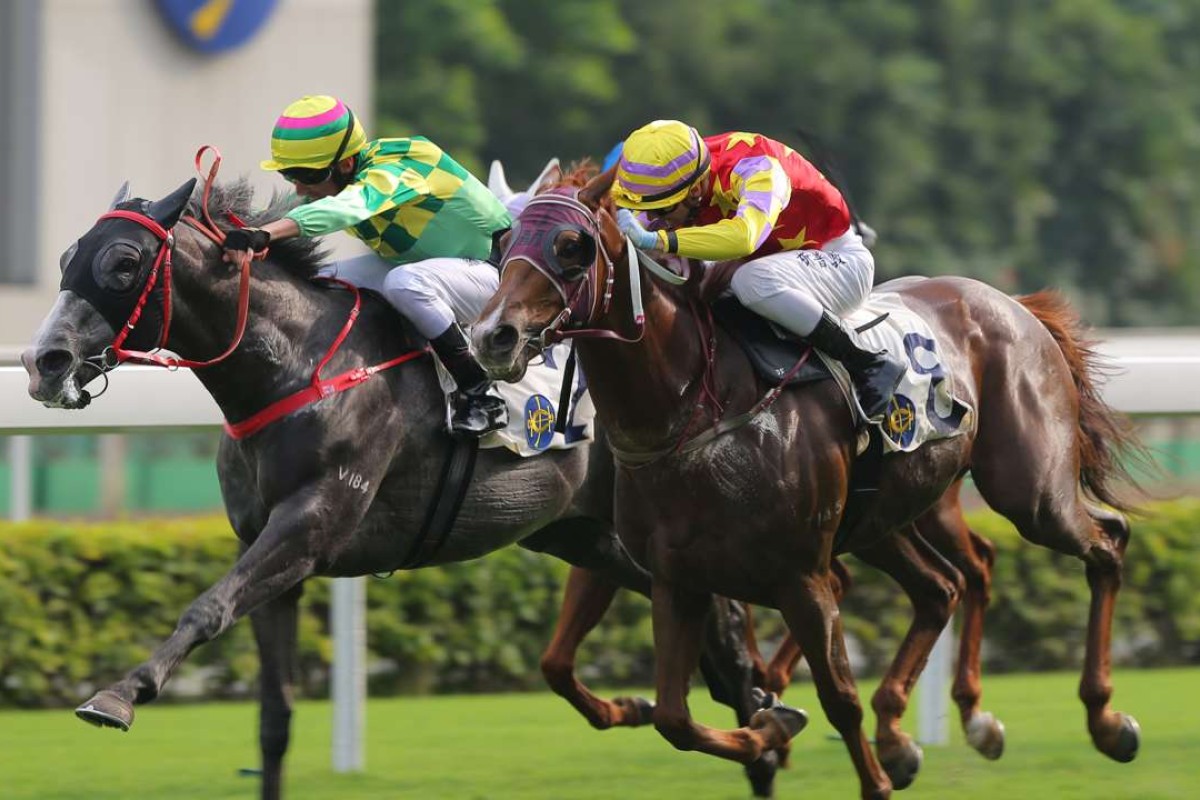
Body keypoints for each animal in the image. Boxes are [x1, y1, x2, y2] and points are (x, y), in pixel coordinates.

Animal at [470, 172, 1142, 796]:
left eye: (572, 245)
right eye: (504, 241)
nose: (492, 336)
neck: (693, 411)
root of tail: (1012, 302)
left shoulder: (801, 576)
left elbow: (837, 696)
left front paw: (864, 776)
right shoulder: (676, 578)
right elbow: (673, 718)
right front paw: (771, 729)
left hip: (1030, 489)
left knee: (1105, 542)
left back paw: (1106, 720)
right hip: (881, 520)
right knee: (943, 587)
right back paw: (908, 734)